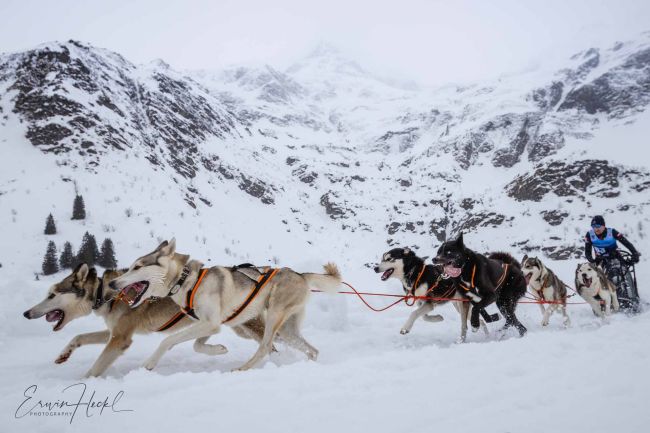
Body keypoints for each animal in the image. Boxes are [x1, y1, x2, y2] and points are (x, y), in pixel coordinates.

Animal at [23, 263, 268, 377]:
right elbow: (79, 336)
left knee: (270, 346)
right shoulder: (114, 332)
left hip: (245, 327)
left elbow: (95, 369)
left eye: (52, 295)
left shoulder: (120, 339)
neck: (108, 294)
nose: (26, 313)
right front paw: (64, 354)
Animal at [109, 238, 342, 371]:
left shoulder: (210, 323)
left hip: (275, 316)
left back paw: (243, 368)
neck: (185, 282)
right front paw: (218, 350)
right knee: (312, 350)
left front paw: (149, 363)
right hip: (287, 329)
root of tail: (300, 274)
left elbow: (169, 340)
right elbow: (197, 345)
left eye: (137, 267)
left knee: (265, 346)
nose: (112, 283)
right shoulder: (210, 324)